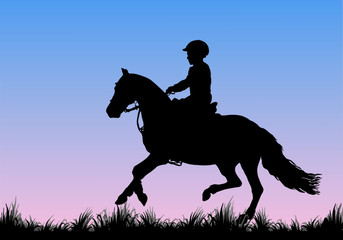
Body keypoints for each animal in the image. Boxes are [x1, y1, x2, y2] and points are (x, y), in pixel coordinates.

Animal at [106, 67, 322, 221]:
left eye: (122, 88)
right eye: (116, 86)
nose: (110, 111)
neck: (162, 115)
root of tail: (258, 129)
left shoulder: (160, 156)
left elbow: (137, 170)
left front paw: (136, 196)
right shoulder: (158, 157)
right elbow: (137, 171)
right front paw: (128, 195)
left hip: (247, 161)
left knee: (256, 188)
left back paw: (244, 216)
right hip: (226, 162)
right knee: (236, 181)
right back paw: (209, 193)